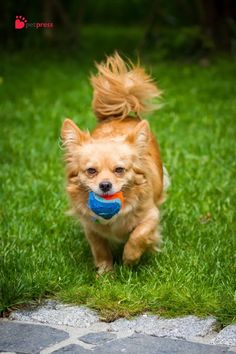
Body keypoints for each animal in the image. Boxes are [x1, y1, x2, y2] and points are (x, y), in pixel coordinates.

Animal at [61, 52, 167, 274]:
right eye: (91, 171)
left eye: (119, 170)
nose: (105, 185)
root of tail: (120, 114)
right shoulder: (90, 227)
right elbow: (100, 248)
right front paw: (105, 273)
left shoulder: (151, 216)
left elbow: (138, 235)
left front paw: (129, 260)